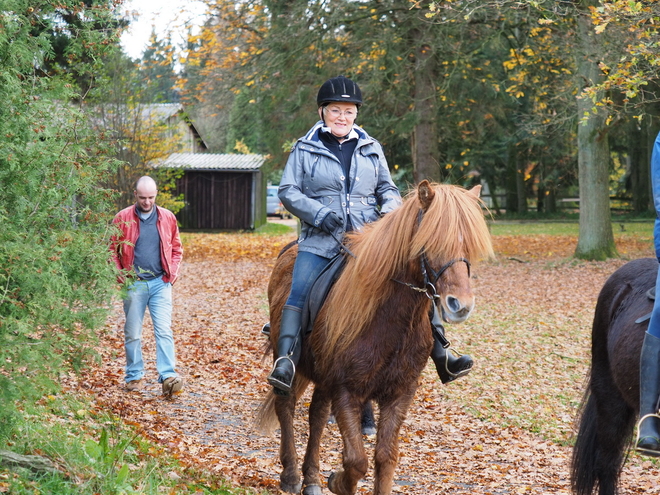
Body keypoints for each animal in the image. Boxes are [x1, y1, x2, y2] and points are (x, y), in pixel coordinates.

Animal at [255, 182, 492, 495]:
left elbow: (385, 456)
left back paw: (311, 479)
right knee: (287, 406)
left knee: (317, 415)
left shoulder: (400, 393)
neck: (391, 322)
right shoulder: (346, 390)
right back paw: (292, 476)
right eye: (431, 241)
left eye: (470, 245)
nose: (460, 305)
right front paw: (337, 481)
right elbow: (357, 461)